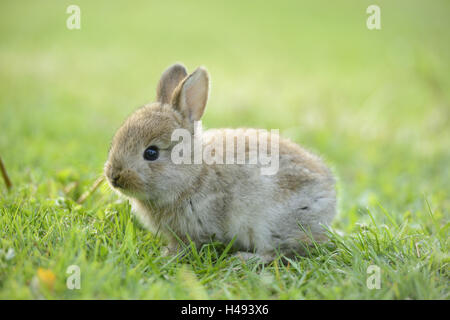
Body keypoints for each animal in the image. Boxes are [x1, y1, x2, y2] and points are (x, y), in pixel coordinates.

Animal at [103, 63, 336, 262]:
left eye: (151, 153)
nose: (113, 177)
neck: (194, 174)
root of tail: (329, 198)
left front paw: (167, 256)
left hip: (270, 225)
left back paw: (244, 259)